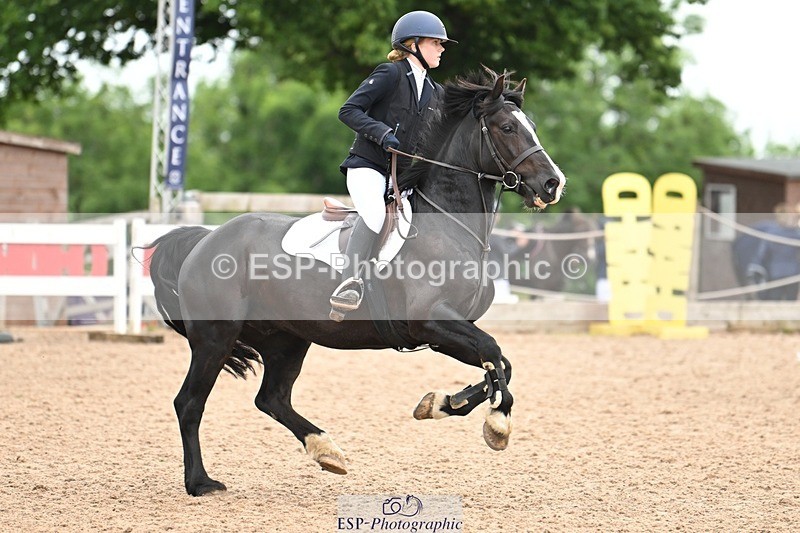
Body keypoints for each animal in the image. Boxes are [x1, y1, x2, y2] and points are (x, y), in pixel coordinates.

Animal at [145, 67, 566, 496]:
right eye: (508, 127)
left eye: (531, 127)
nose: (553, 184)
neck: (449, 225)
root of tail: (205, 239)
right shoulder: (431, 321)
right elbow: (494, 353)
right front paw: (497, 424)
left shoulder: (445, 332)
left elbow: (499, 363)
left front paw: (442, 404)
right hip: (216, 338)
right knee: (190, 402)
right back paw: (201, 482)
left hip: (286, 339)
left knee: (272, 398)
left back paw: (326, 450)